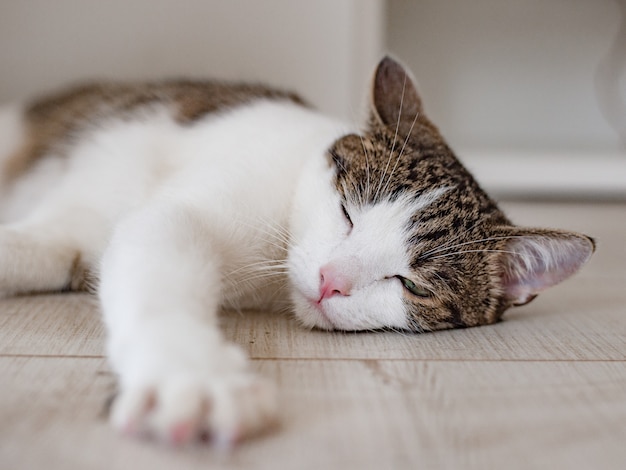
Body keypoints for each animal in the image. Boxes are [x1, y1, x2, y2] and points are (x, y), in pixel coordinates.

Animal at [0, 57, 588, 446]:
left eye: (411, 284)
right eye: (348, 212)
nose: (330, 281)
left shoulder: (65, 240)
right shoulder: (170, 214)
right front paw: (192, 373)